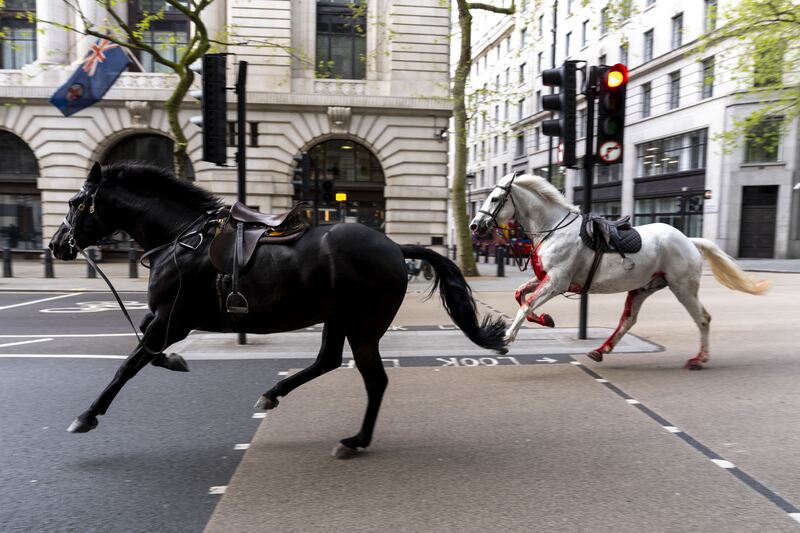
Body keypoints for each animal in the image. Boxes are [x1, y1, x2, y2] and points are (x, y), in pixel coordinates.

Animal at [48, 163, 506, 458]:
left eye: (74, 202)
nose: (55, 246)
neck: (181, 239)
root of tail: (395, 246)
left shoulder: (173, 319)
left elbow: (129, 364)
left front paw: (87, 415)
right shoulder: (164, 319)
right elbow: (146, 349)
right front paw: (176, 361)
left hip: (363, 326)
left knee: (374, 380)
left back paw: (355, 440)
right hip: (338, 318)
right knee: (327, 361)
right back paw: (273, 394)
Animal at [468, 172, 768, 368]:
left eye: (495, 198)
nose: (474, 225)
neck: (553, 229)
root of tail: (689, 240)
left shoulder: (557, 281)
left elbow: (527, 303)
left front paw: (506, 338)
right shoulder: (546, 278)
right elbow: (521, 296)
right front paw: (545, 319)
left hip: (682, 287)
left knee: (703, 319)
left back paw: (699, 358)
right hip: (643, 288)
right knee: (628, 320)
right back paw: (602, 350)